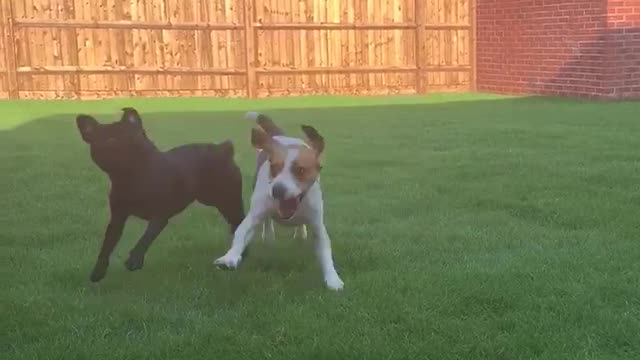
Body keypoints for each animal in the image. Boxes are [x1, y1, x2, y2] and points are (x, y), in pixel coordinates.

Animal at [214, 111, 344, 292]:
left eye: (300, 170)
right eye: (274, 167)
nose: (277, 190)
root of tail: (278, 135)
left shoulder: (317, 224)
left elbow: (325, 248)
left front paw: (333, 279)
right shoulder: (255, 214)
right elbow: (241, 232)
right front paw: (230, 257)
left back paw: (300, 232)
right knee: (267, 222)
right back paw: (268, 235)